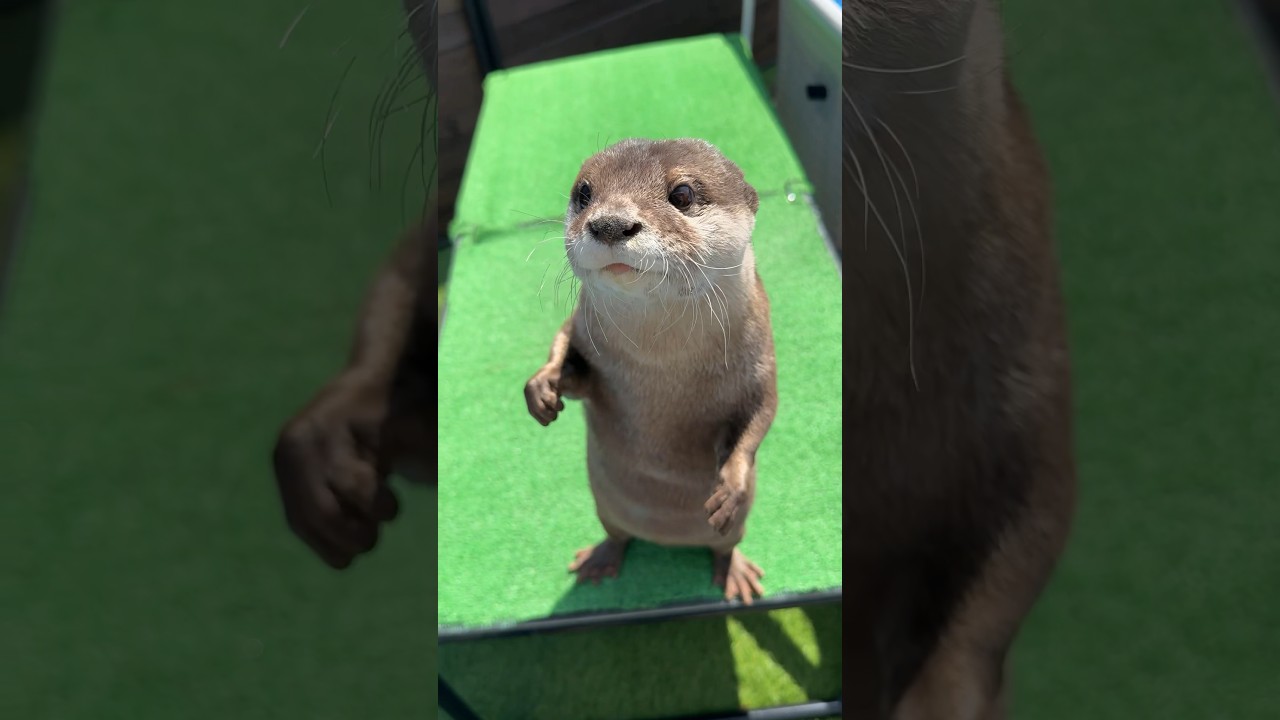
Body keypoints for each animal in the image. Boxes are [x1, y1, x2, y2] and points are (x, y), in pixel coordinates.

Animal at [524, 138, 777, 605]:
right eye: (584, 193)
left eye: (682, 194)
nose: (610, 224)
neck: (661, 361)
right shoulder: (582, 328)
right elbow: (567, 352)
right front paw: (542, 387)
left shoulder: (761, 360)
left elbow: (761, 415)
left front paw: (729, 487)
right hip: (606, 509)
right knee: (617, 534)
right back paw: (601, 559)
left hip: (732, 532)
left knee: (725, 545)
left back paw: (733, 571)